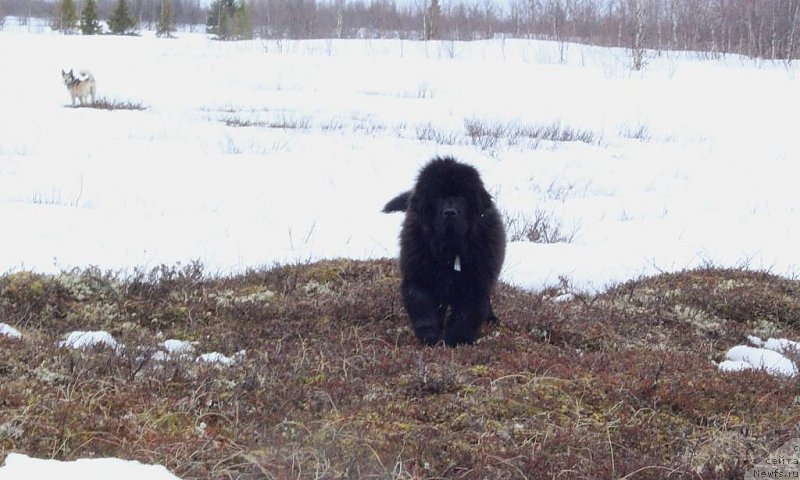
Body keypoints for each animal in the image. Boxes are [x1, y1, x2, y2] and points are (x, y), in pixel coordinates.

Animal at [382, 156, 506, 346]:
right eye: (438, 197)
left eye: (462, 197)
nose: (450, 212)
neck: (450, 247)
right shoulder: (418, 273)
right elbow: (421, 300)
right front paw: (429, 333)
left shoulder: (475, 280)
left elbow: (466, 312)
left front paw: (457, 339)